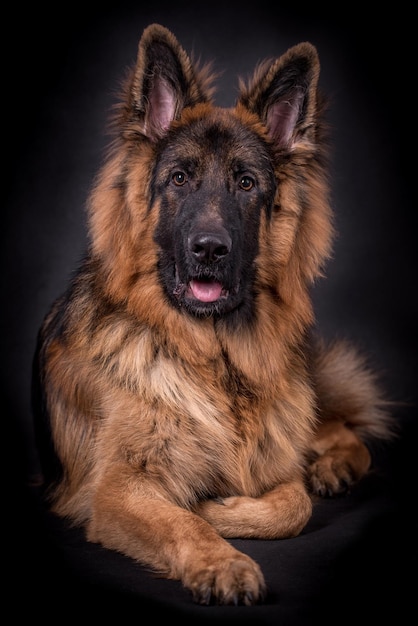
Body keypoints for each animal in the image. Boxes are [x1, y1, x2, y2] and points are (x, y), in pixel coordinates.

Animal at [31, 24, 392, 604]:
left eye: (246, 184)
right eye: (179, 179)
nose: (209, 249)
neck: (213, 358)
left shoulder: (275, 461)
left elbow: (294, 503)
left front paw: (221, 508)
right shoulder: (116, 489)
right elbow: (182, 521)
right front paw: (221, 559)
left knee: (339, 428)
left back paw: (334, 467)